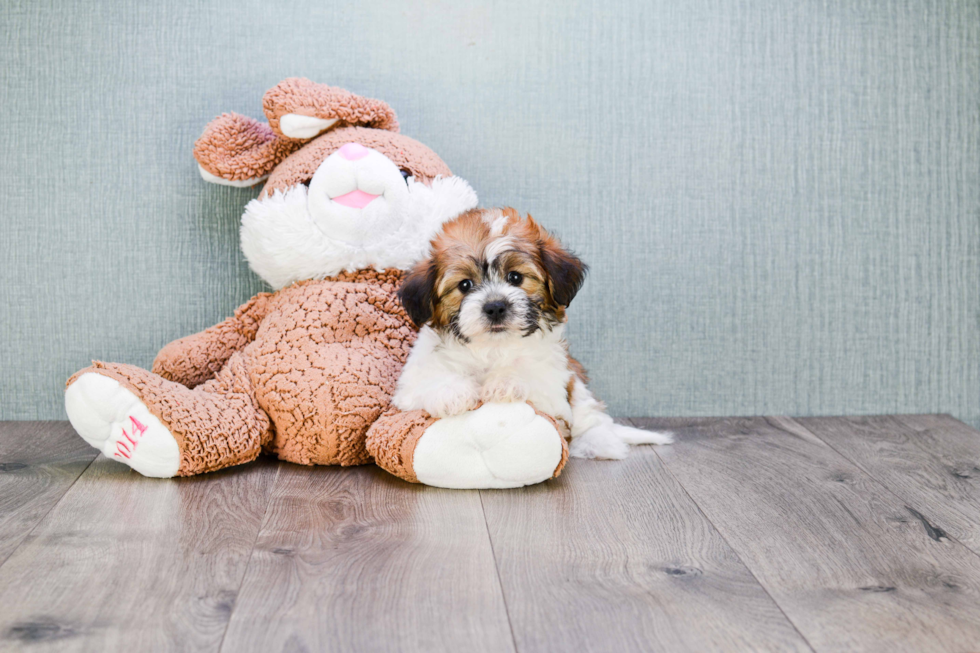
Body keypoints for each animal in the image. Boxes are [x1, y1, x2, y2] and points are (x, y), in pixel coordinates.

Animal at [392, 208, 672, 458]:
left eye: (515, 277)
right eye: (465, 285)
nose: (495, 306)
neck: (493, 348)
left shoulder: (553, 389)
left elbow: (530, 376)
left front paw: (504, 382)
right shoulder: (409, 386)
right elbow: (430, 379)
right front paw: (452, 394)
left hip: (579, 387)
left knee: (593, 418)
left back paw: (598, 444)